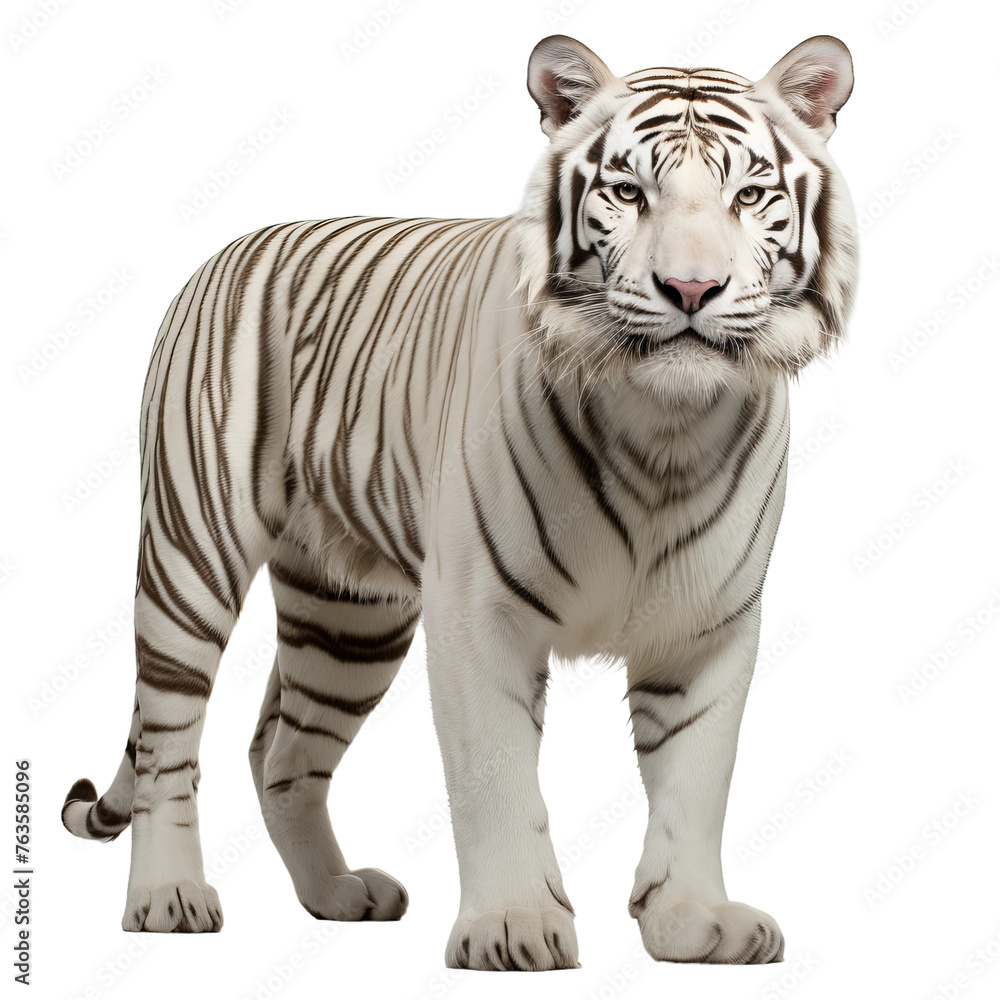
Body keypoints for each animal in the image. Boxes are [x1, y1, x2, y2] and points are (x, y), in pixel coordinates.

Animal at [61, 33, 857, 970]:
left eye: (749, 195)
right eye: (629, 192)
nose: (691, 290)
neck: (664, 429)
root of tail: (231, 247)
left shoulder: (709, 624)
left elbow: (697, 779)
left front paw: (693, 920)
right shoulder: (479, 614)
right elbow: (497, 777)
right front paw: (513, 926)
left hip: (349, 618)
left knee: (282, 752)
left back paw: (337, 893)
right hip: (193, 557)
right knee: (168, 738)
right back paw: (168, 897)